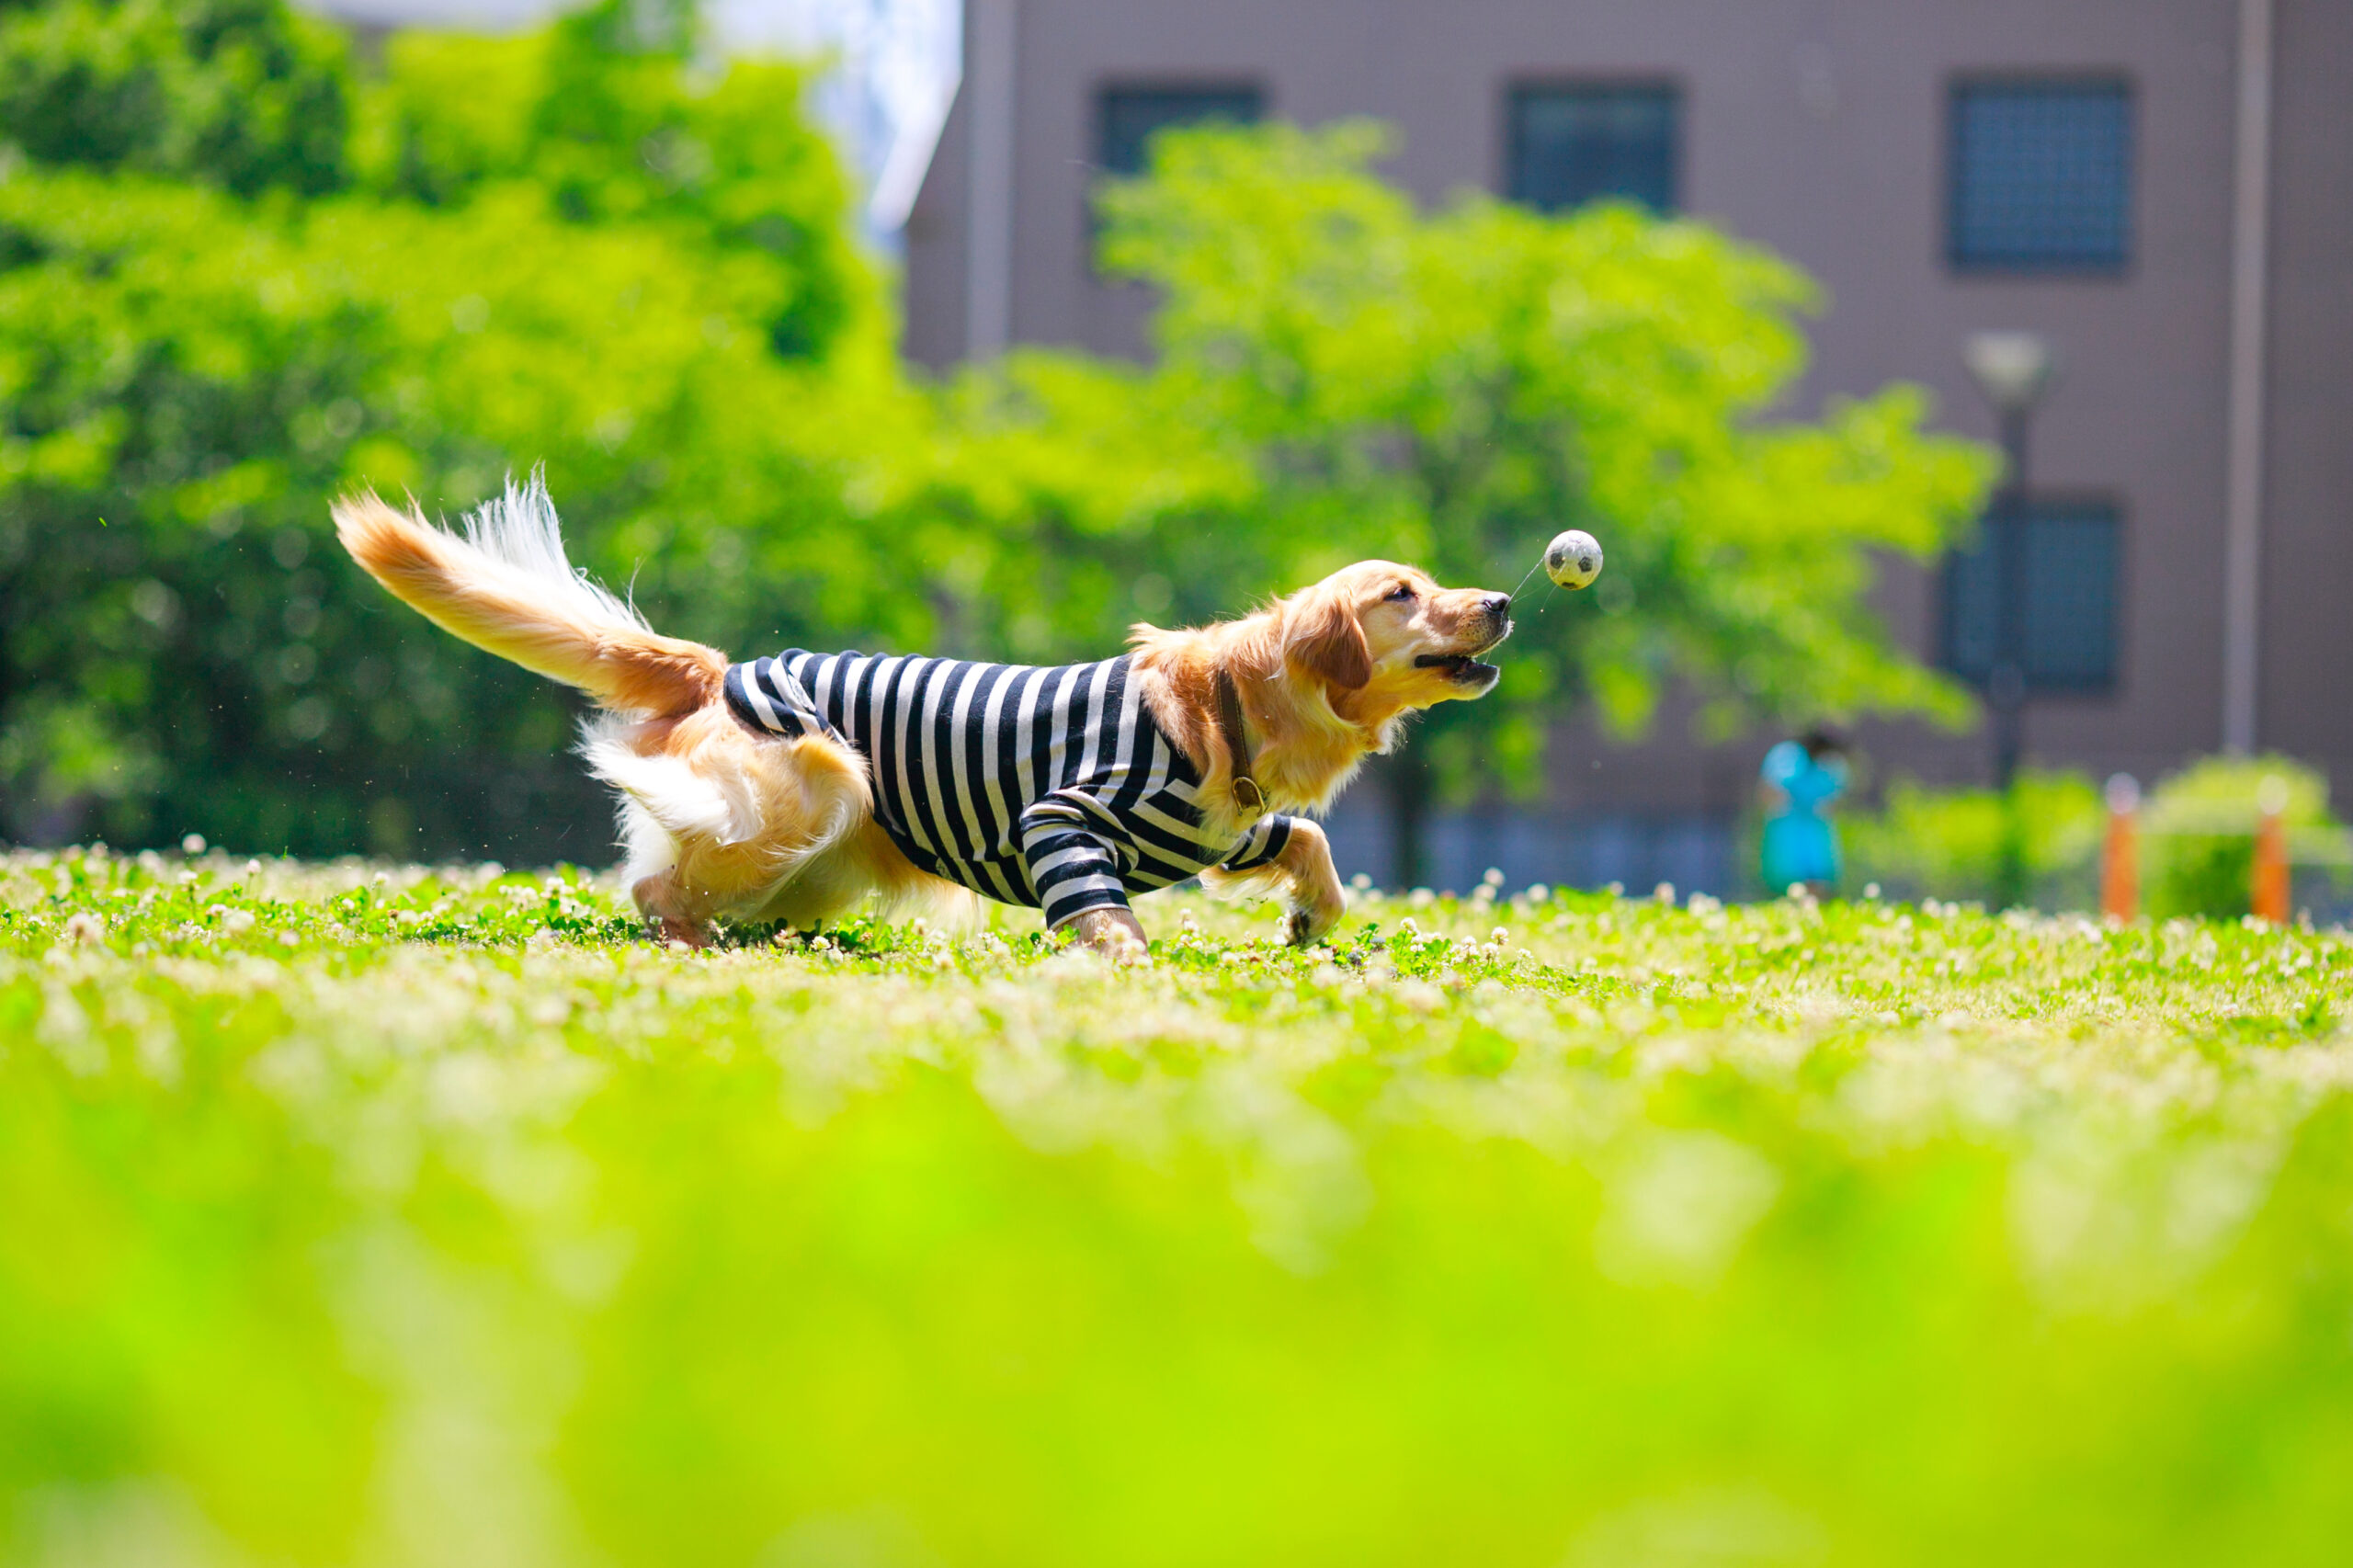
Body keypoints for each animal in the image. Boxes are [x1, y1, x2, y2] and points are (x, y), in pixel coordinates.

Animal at [331, 472, 1515, 950]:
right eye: (1401, 593)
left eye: (1432, 582)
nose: (1502, 601)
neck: (1226, 710)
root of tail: (718, 668)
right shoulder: (1062, 816)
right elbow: (1101, 908)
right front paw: (1125, 968)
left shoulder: (1226, 829)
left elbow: (1303, 836)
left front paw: (1313, 915)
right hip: (811, 782)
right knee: (659, 881)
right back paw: (690, 945)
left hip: (824, 854)